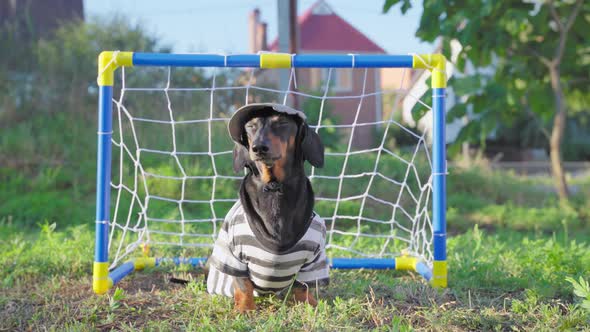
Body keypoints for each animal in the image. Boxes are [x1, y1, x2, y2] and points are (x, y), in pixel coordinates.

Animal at [207, 103, 328, 312]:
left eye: (282, 123)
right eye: (250, 126)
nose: (259, 148)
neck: (274, 187)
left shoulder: (314, 259)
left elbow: (301, 285)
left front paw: (309, 304)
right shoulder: (233, 256)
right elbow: (243, 285)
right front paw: (245, 308)